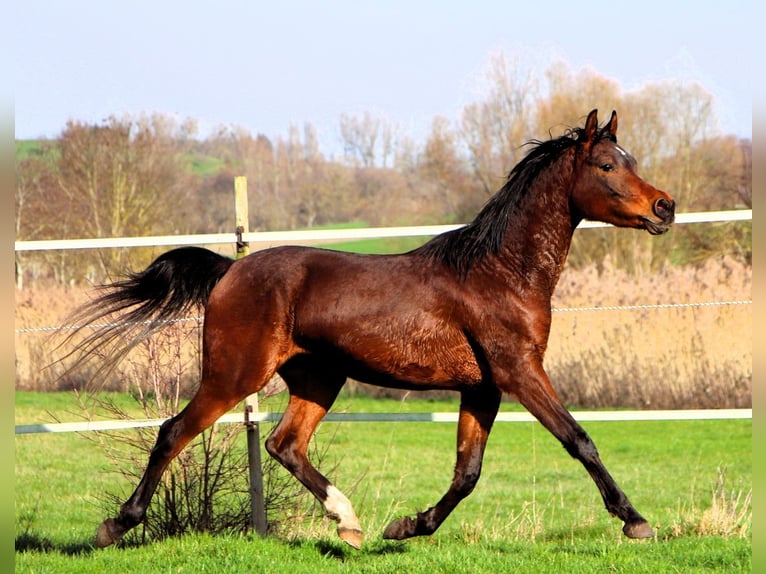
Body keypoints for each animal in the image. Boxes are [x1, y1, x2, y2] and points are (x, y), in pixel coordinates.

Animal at [70, 109, 674, 549]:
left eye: (630, 159)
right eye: (606, 165)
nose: (664, 207)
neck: (500, 271)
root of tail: (230, 269)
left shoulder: (483, 386)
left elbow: (467, 473)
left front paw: (407, 526)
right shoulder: (518, 372)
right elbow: (579, 440)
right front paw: (635, 521)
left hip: (318, 379)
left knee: (284, 444)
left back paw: (350, 523)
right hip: (234, 374)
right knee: (174, 432)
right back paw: (115, 525)